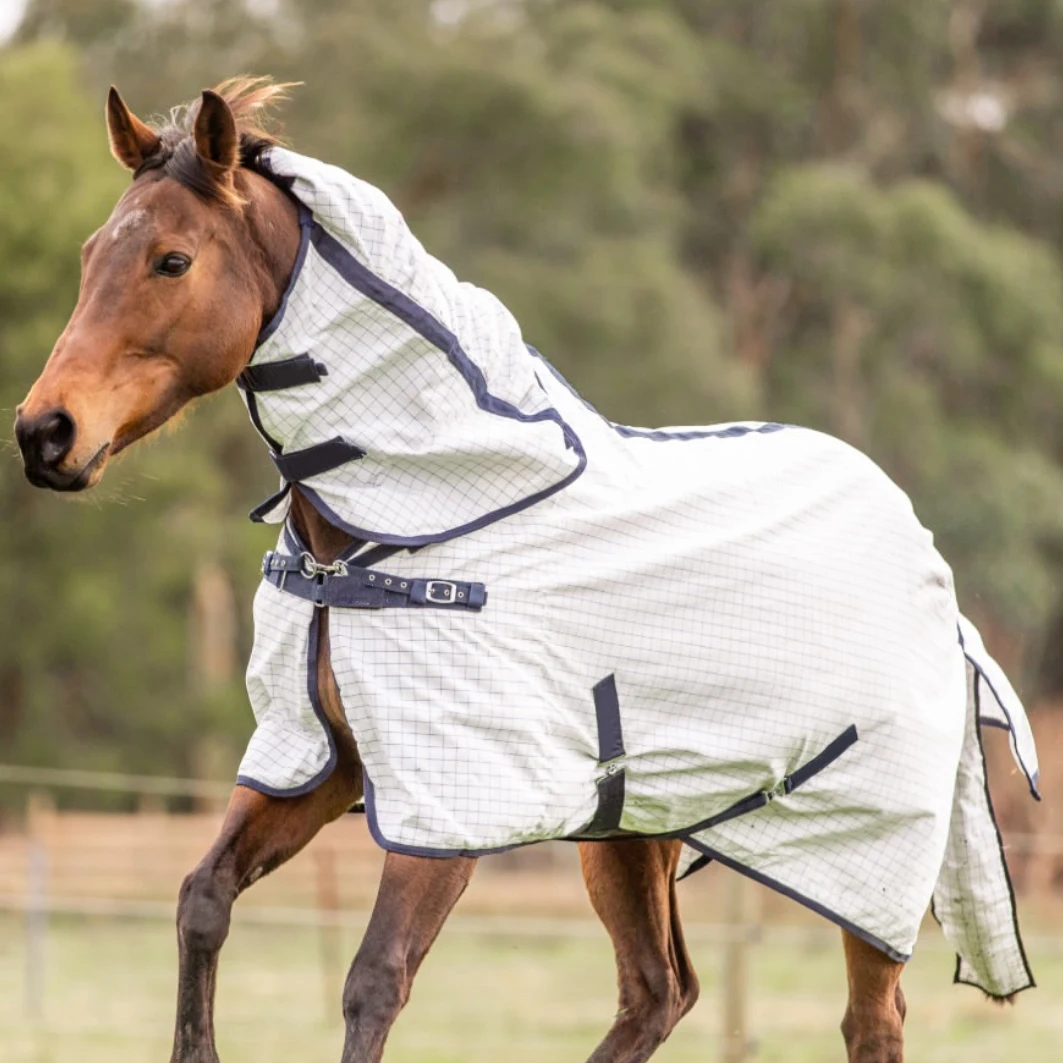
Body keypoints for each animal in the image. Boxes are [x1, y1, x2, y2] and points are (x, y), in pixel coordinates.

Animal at [14, 78, 1037, 1063]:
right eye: (91, 254)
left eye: (171, 260)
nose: (44, 432)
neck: (396, 539)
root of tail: (931, 570)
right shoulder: (321, 763)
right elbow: (200, 900)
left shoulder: (448, 803)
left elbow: (375, 979)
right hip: (630, 828)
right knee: (657, 991)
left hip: (863, 855)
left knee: (867, 1021)